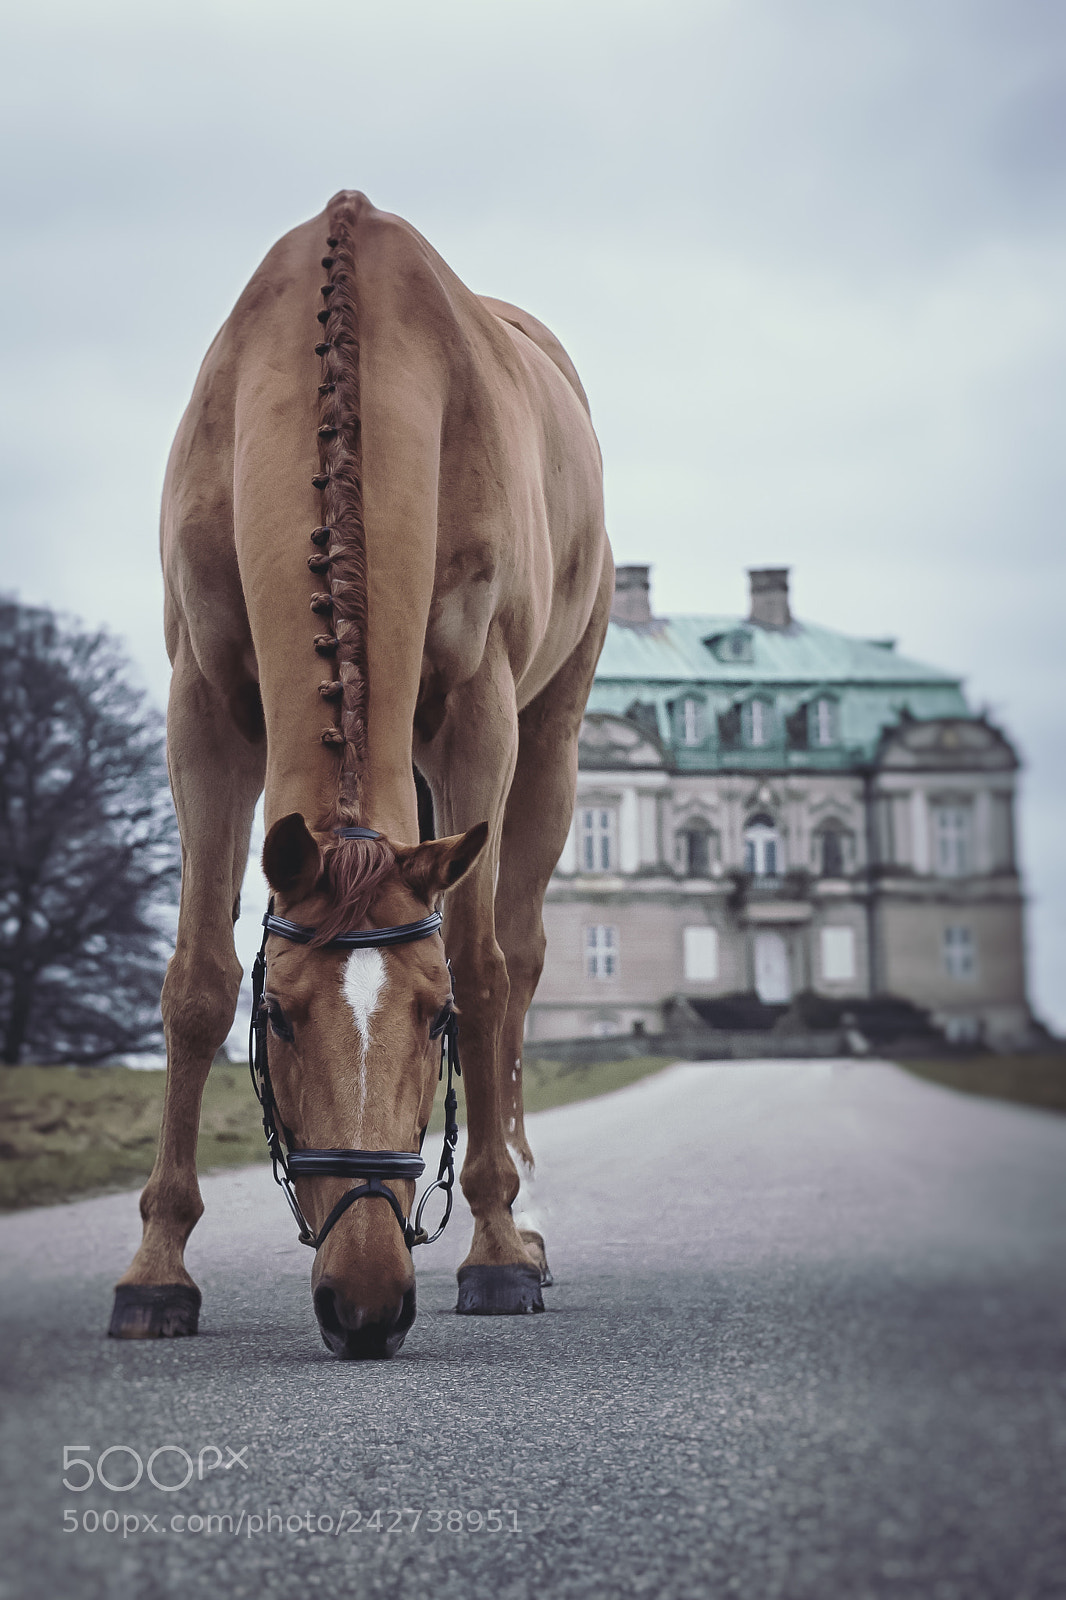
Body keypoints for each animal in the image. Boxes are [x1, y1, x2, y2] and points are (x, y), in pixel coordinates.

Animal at [109, 191, 612, 1358]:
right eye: (284, 1015)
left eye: (429, 1020)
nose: (370, 1299)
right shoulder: (202, 705)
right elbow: (195, 979)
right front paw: (157, 1267)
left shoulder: (479, 718)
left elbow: (483, 970)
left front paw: (495, 1248)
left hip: (551, 740)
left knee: (522, 954)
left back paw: (521, 1211)